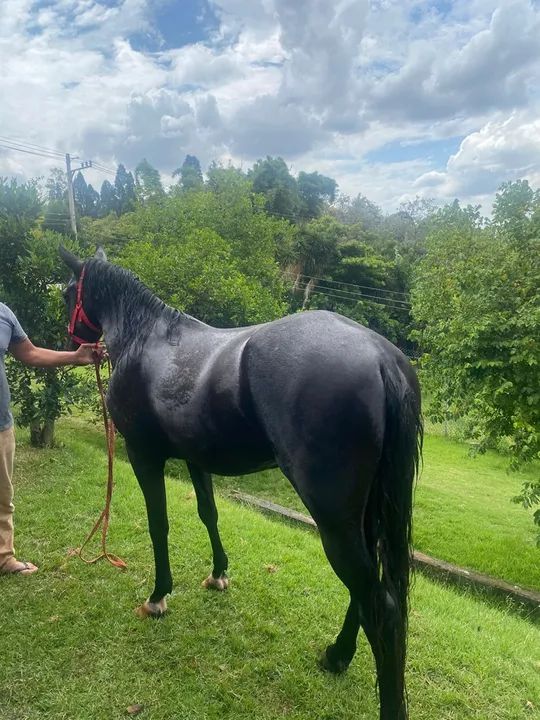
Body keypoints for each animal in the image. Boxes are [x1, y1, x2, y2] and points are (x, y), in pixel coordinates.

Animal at [60, 246, 422, 720]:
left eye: (67, 292)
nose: (72, 341)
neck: (148, 338)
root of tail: (381, 357)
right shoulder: (196, 459)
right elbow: (208, 513)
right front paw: (218, 574)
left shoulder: (144, 456)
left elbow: (159, 524)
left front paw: (158, 596)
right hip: (362, 515)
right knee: (368, 592)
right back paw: (337, 655)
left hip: (333, 518)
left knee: (380, 605)